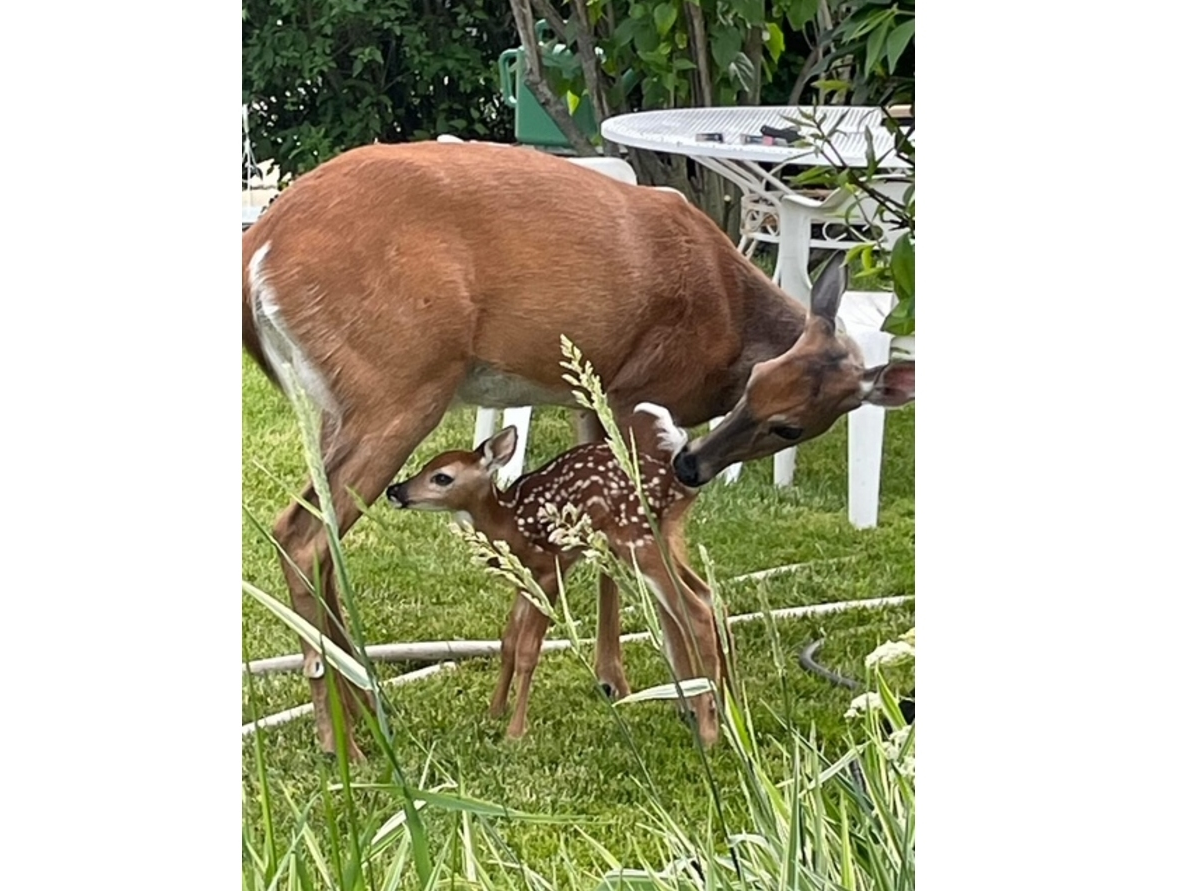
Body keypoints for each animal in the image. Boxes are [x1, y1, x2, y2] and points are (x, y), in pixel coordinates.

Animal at [386, 404, 724, 745]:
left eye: (442, 477)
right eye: (426, 465)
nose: (394, 490)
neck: (510, 523)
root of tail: (680, 484)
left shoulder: (550, 568)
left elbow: (527, 650)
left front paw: (515, 732)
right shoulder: (524, 579)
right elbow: (508, 643)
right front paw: (494, 713)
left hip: (637, 539)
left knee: (694, 609)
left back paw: (710, 733)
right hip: (661, 535)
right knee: (705, 592)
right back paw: (721, 711)